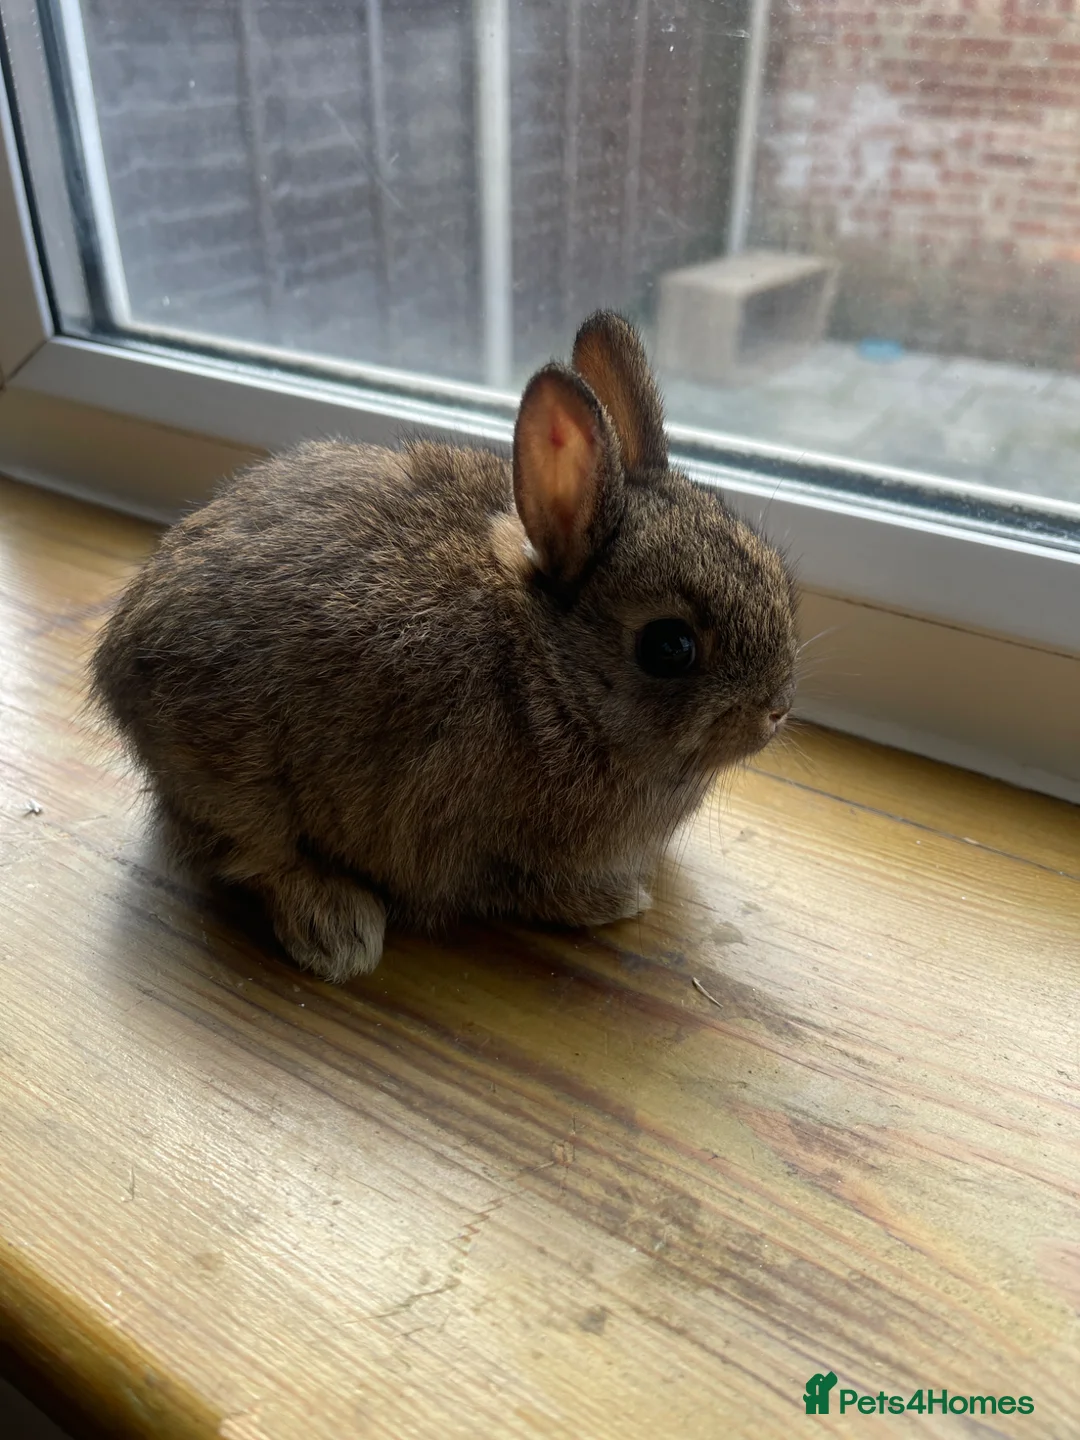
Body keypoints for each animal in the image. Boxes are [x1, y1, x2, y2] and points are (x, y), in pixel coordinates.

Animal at [91, 312, 797, 982]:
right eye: (669, 647)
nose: (776, 710)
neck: (555, 674)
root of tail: (120, 655)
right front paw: (616, 902)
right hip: (235, 780)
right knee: (257, 857)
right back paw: (338, 933)